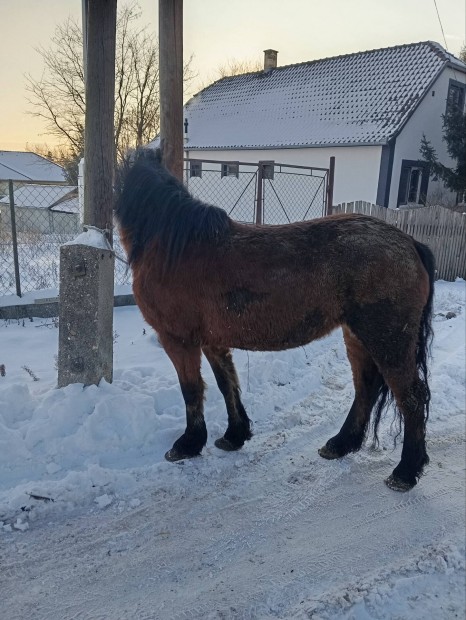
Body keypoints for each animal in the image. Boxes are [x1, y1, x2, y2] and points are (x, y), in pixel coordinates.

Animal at [115, 149, 435, 492]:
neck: (174, 245)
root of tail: (410, 243)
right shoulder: (213, 340)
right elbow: (227, 384)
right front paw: (234, 435)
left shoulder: (178, 339)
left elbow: (191, 389)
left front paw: (188, 443)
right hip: (357, 335)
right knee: (367, 386)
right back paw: (340, 444)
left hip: (389, 339)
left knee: (412, 397)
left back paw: (405, 472)